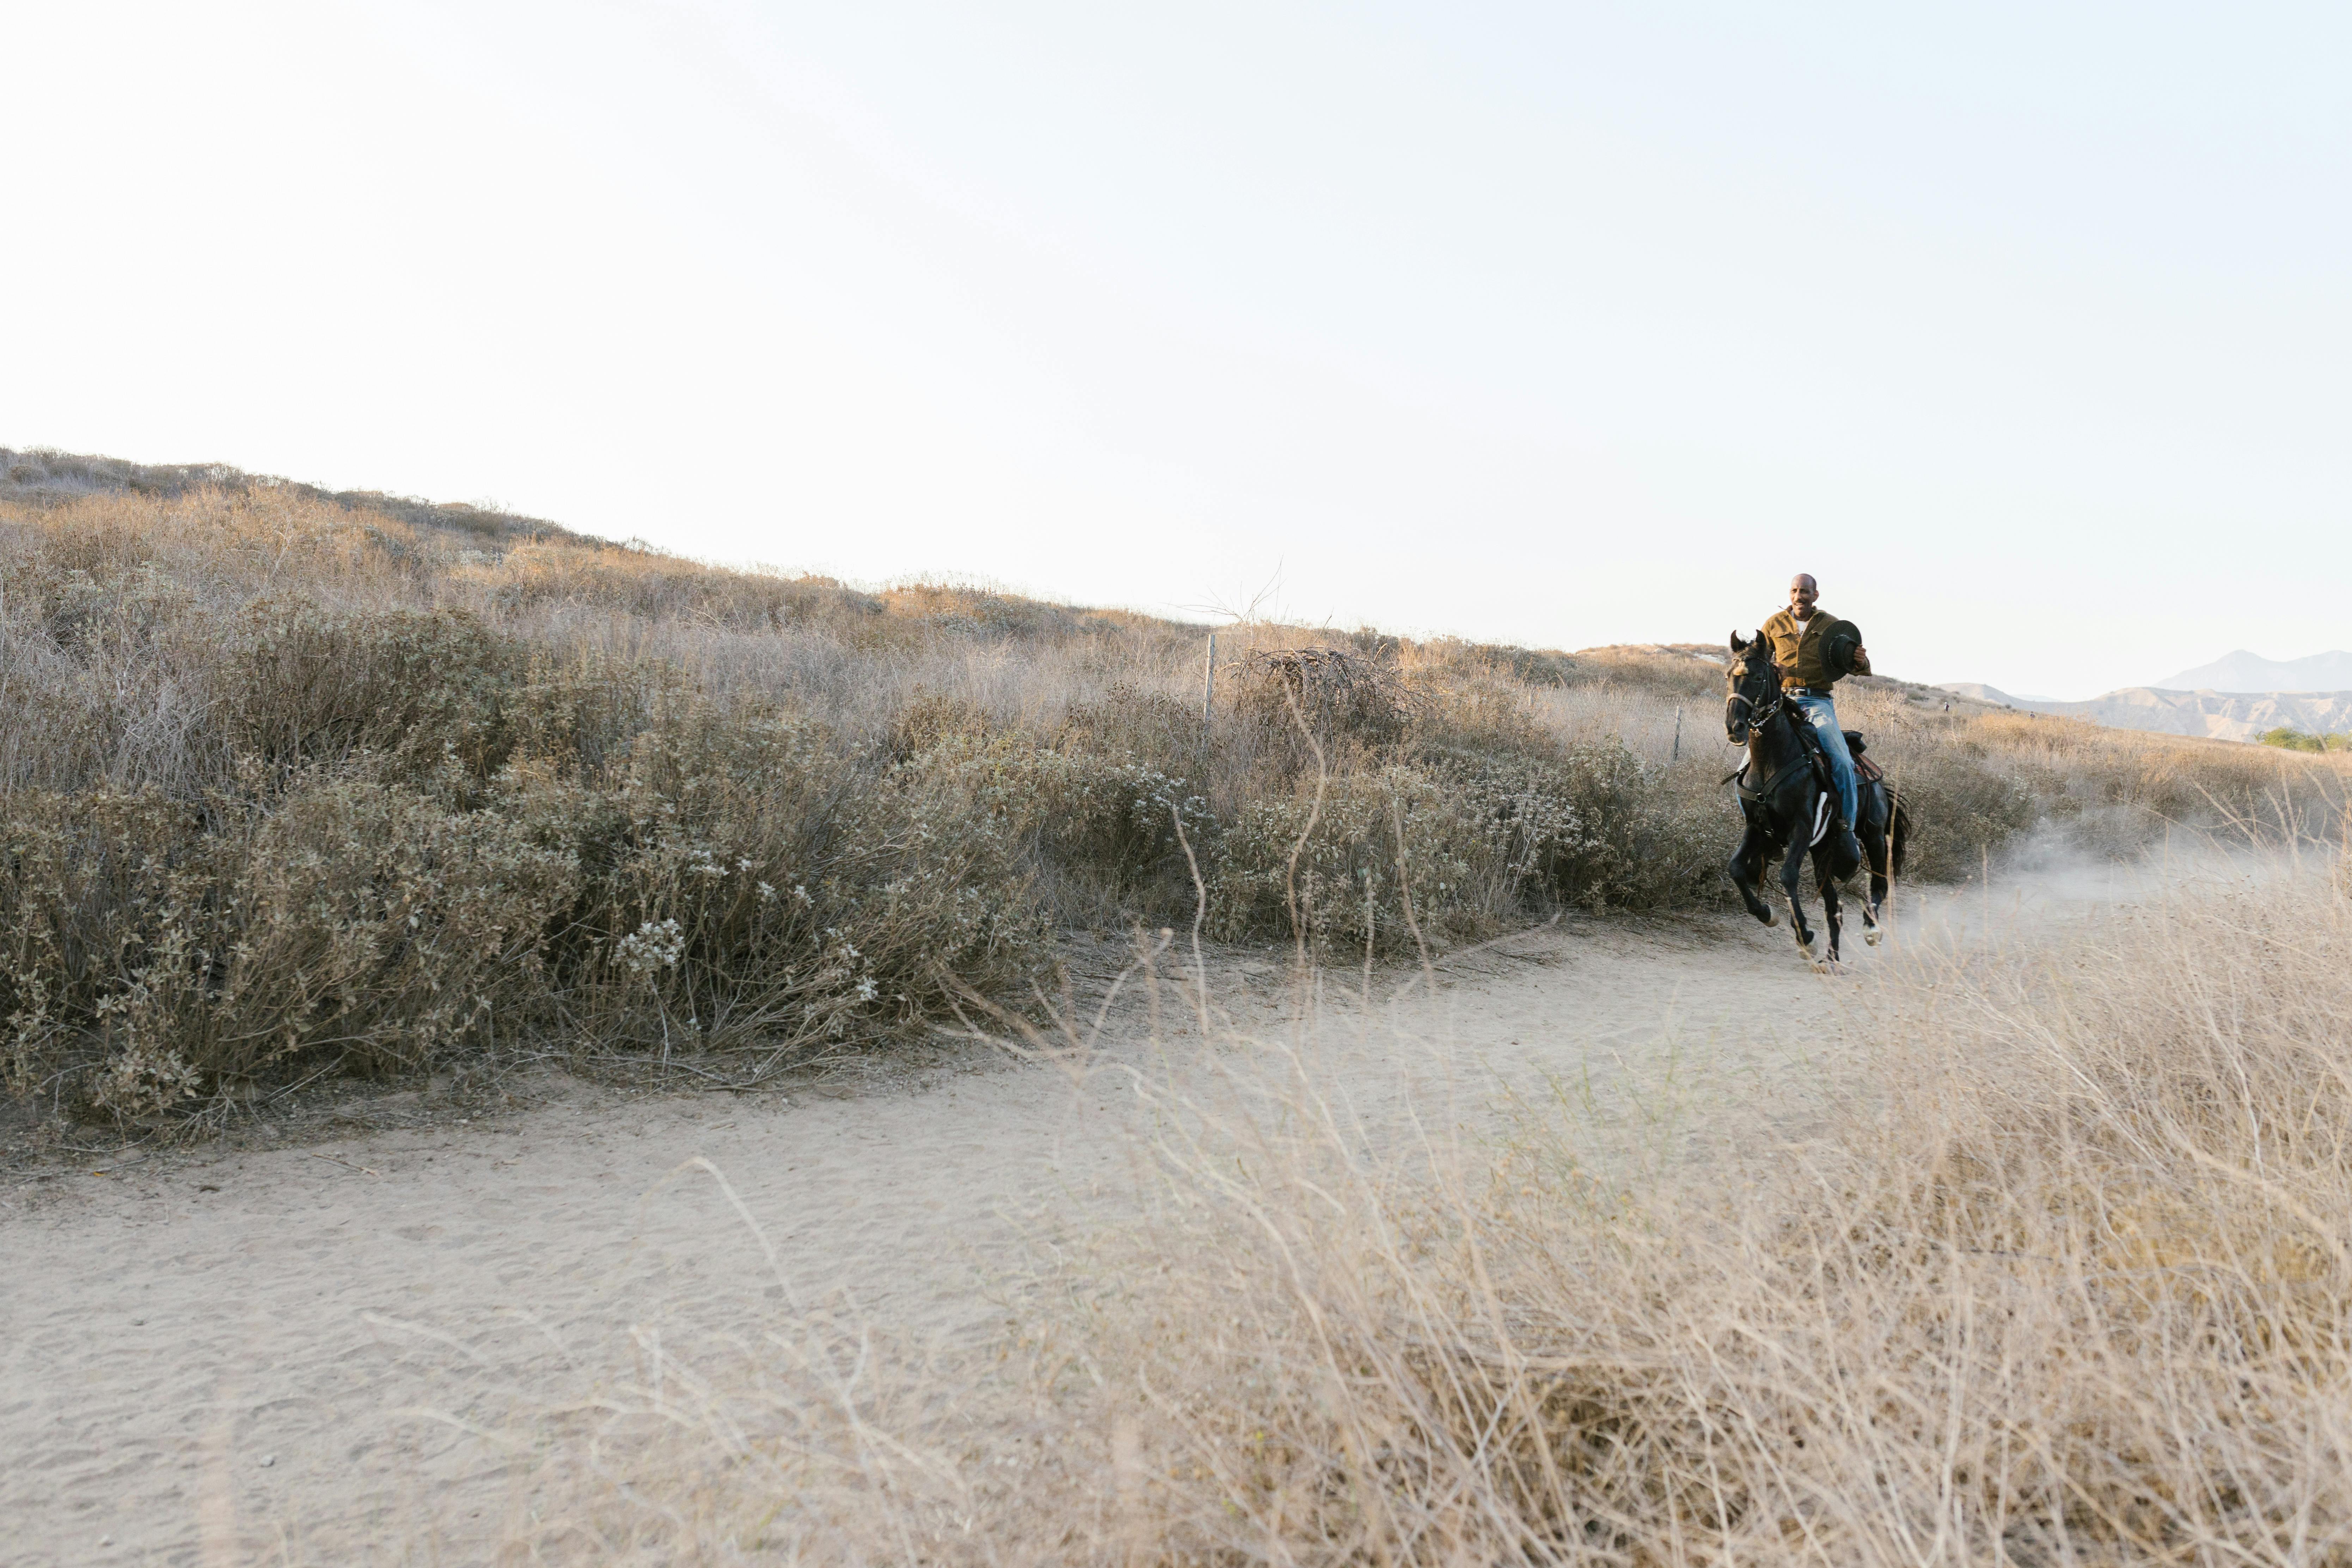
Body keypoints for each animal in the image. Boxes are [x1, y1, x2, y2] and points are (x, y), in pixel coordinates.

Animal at [1731, 630, 1910, 964]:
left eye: (1758, 676)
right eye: (1729, 676)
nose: (1734, 727)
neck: (1772, 759)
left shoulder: (1802, 828)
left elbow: (1788, 877)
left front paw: (1804, 936)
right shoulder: (1757, 828)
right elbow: (1736, 868)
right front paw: (1767, 914)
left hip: (1873, 835)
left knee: (1880, 882)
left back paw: (1871, 929)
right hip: (1823, 852)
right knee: (1834, 907)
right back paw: (1831, 960)